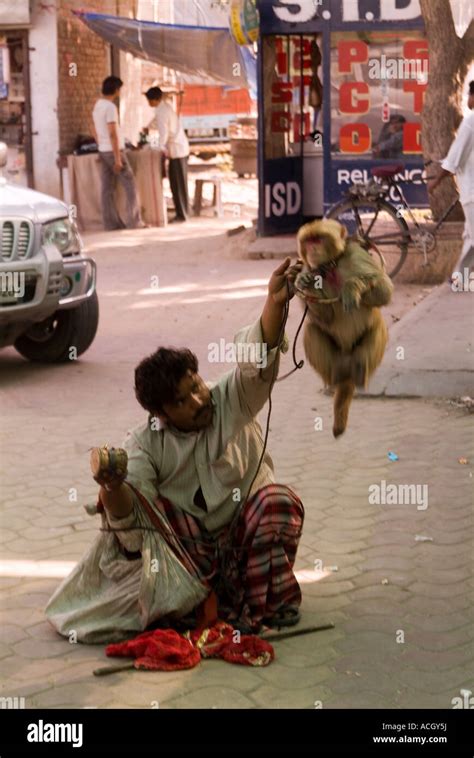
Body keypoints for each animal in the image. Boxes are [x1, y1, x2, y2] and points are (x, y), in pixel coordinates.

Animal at [296, 218, 392, 440]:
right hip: (335, 361)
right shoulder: (314, 270)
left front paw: (352, 286)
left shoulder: (356, 255)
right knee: (312, 328)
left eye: (318, 239)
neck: (332, 266)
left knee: (377, 326)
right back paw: (334, 381)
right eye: (308, 242)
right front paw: (305, 282)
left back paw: (360, 375)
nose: (312, 249)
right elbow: (325, 317)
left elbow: (384, 289)